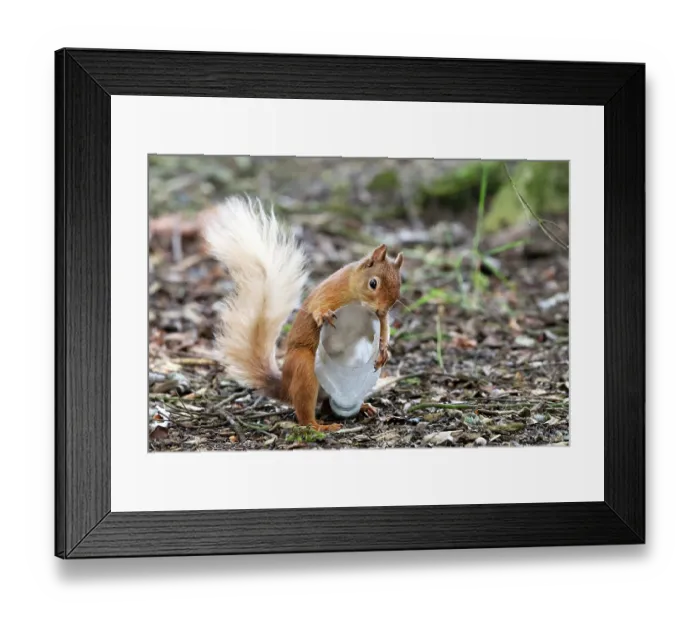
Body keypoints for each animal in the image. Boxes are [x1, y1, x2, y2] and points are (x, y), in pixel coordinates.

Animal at [203, 195, 404, 432]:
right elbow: (318, 307)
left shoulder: (379, 318)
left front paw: (384, 351)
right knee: (305, 412)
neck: (356, 295)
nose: (382, 309)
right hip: (303, 368)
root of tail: (285, 386)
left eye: (399, 287)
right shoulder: (330, 291)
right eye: (373, 283)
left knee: (329, 403)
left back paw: (362, 407)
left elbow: (384, 328)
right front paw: (324, 315)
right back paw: (320, 426)